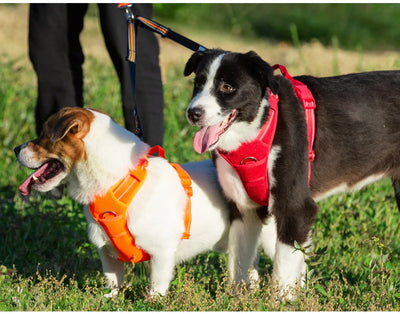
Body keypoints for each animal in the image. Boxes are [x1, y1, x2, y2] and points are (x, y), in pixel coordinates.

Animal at [14, 107, 272, 296]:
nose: (16, 148)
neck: (117, 185)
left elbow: (156, 287)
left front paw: (152, 302)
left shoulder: (161, 254)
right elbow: (112, 281)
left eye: (45, 135)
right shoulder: (107, 254)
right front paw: (110, 299)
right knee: (250, 265)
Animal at [184, 49, 400, 296]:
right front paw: (239, 299)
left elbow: (284, 270)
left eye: (227, 87)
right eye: (198, 83)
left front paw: (280, 301)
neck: (260, 126)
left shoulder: (295, 209)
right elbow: (239, 263)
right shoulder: (244, 209)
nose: (193, 113)